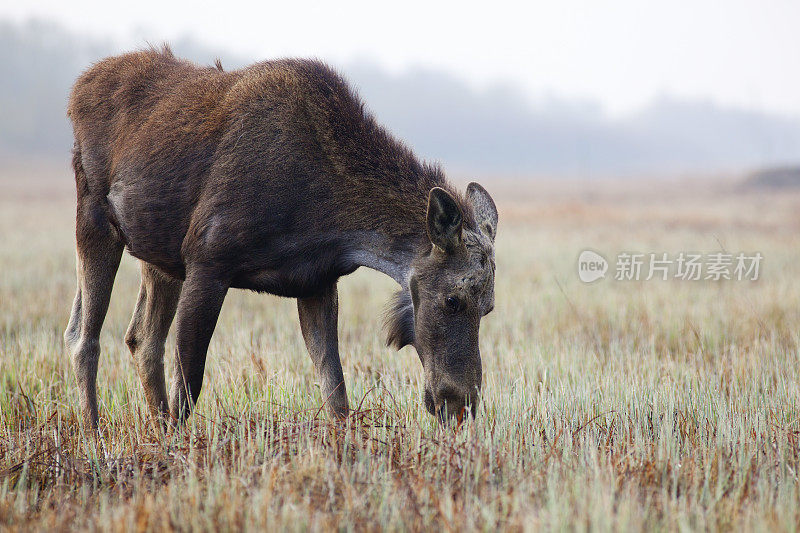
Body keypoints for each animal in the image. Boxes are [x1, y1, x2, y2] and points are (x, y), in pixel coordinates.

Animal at [64, 46, 500, 428]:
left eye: (489, 308)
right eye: (453, 300)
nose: (460, 404)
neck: (333, 222)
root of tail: (76, 91)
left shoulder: (316, 282)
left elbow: (335, 392)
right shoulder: (207, 260)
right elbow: (189, 381)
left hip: (158, 257)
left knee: (141, 339)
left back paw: (152, 428)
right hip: (94, 217)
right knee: (84, 338)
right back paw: (94, 432)